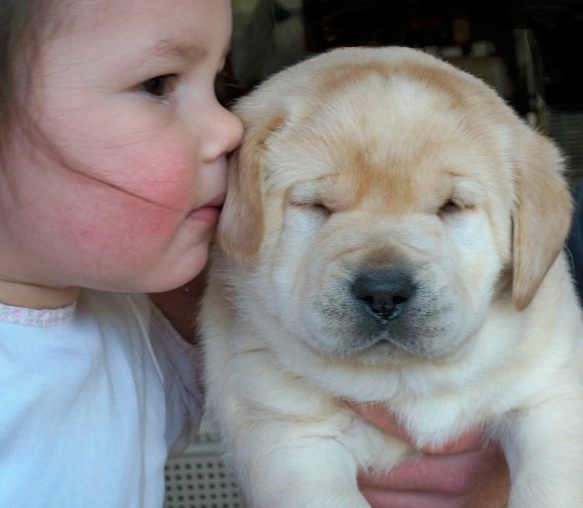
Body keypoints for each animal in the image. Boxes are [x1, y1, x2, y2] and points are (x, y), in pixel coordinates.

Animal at [201, 46, 583, 508]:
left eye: (451, 206)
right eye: (316, 205)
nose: (383, 293)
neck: (406, 381)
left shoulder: (552, 394)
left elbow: (551, 484)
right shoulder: (291, 437)